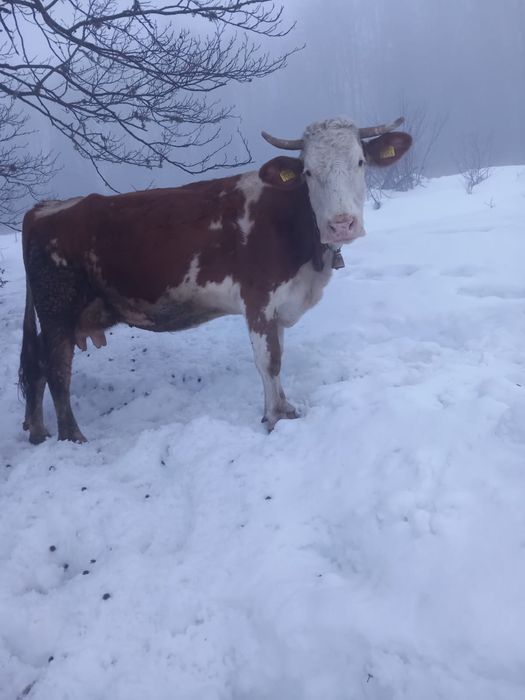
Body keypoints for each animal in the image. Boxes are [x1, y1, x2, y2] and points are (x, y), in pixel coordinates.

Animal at [19, 117, 412, 444]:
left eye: (360, 162)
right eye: (309, 172)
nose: (341, 224)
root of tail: (44, 207)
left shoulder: (279, 305)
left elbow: (278, 354)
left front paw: (285, 409)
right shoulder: (258, 300)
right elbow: (269, 361)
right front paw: (274, 418)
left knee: (36, 364)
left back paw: (38, 431)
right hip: (57, 311)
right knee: (57, 371)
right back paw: (72, 438)